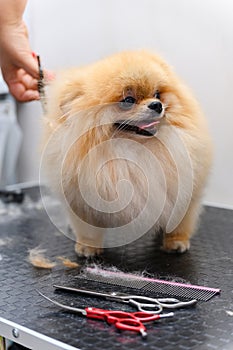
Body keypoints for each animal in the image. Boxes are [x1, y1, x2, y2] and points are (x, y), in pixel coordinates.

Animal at [41, 50, 211, 258]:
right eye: (128, 100)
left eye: (157, 94)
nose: (157, 105)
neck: (134, 149)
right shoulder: (82, 202)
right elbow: (89, 230)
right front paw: (88, 247)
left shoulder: (184, 194)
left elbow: (178, 223)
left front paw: (176, 242)